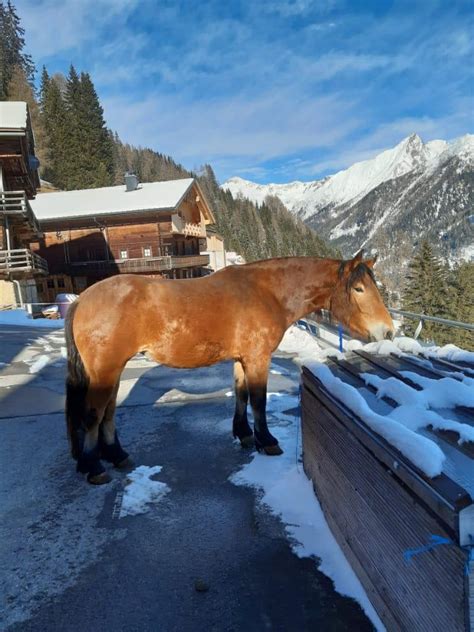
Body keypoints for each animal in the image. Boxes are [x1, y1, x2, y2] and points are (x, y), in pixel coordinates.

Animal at [65, 251, 394, 484]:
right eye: (360, 289)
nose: (388, 331)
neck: (267, 293)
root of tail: (82, 300)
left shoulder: (242, 358)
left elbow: (241, 395)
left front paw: (244, 435)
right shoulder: (258, 358)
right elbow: (259, 400)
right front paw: (267, 441)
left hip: (113, 370)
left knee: (108, 412)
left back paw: (117, 455)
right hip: (106, 369)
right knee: (93, 414)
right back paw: (94, 467)